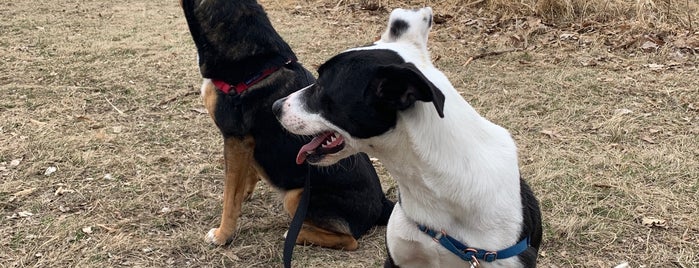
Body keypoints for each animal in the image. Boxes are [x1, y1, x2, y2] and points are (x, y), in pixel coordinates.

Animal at [182, 0, 394, 251]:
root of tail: (382, 203)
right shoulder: (246, 144)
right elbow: (245, 178)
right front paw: (245, 194)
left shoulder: (235, 138)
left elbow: (230, 198)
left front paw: (223, 235)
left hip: (296, 197)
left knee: (349, 240)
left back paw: (296, 235)